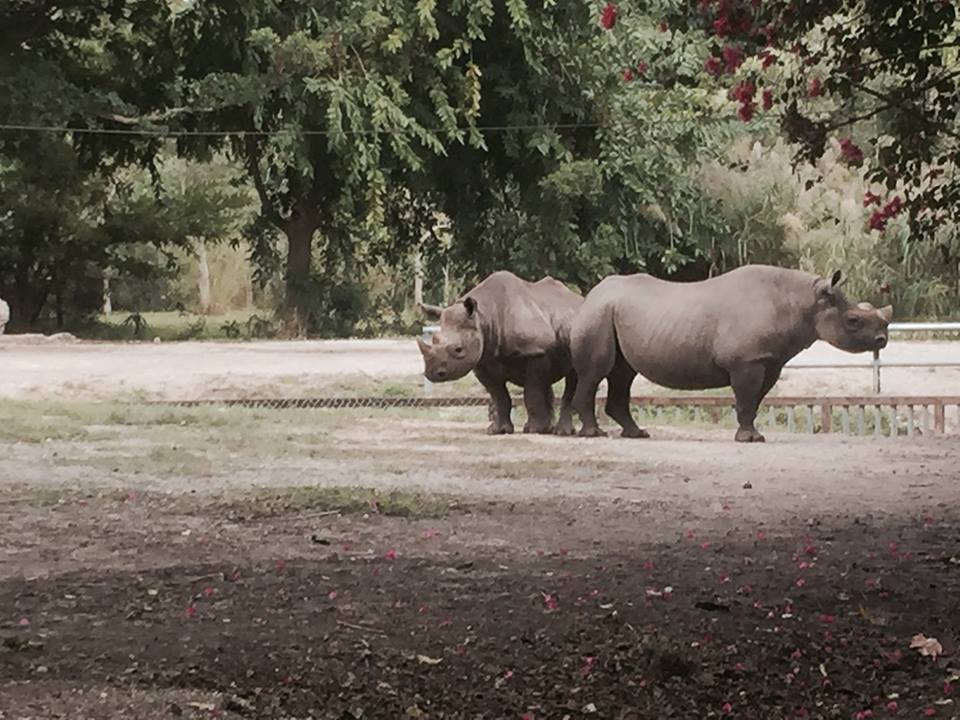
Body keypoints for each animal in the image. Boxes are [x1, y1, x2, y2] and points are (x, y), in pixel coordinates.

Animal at [417, 271, 583, 435]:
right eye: (434, 339)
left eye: (459, 349)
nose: (432, 373)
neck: (484, 316)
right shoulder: (483, 361)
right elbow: (499, 396)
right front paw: (498, 430)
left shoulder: (535, 353)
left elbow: (532, 393)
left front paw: (534, 430)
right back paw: (548, 429)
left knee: (569, 379)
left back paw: (559, 432)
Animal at [569, 265, 892, 442]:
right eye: (853, 321)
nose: (882, 339)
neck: (802, 303)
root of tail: (590, 293)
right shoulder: (746, 360)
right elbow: (746, 398)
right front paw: (750, 439)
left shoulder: (769, 360)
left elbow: (755, 400)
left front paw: (752, 434)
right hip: (598, 313)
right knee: (596, 371)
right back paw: (594, 433)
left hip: (613, 311)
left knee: (623, 373)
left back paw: (637, 433)